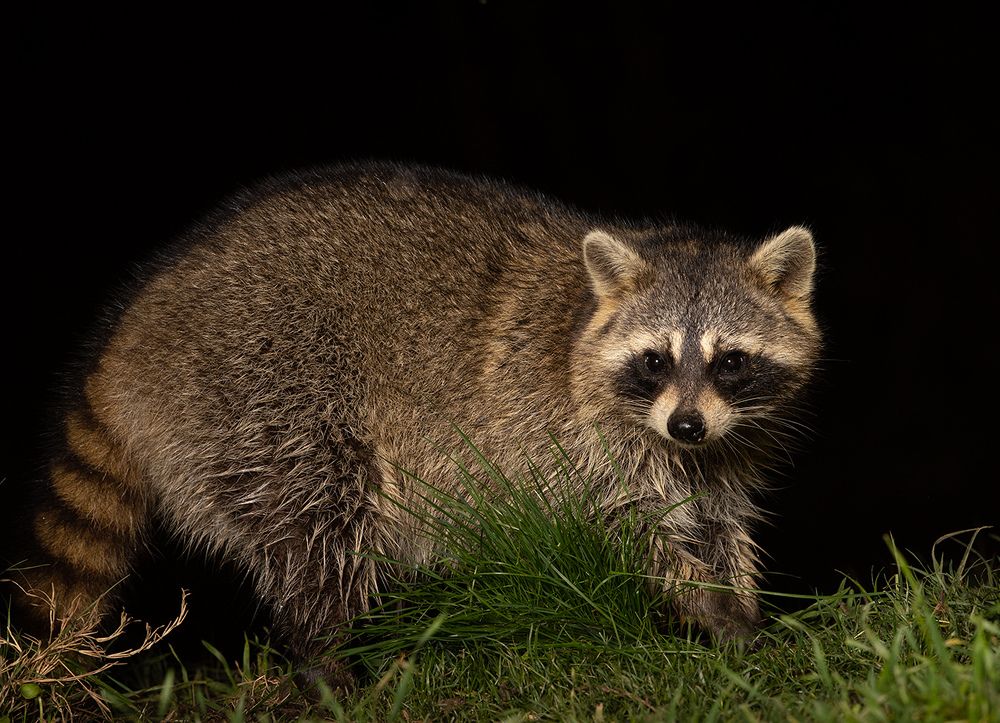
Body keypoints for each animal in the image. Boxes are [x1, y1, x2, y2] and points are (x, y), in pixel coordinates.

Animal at [10, 163, 819, 676]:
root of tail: (131, 327)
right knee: (318, 520)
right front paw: (713, 607)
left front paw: (739, 599)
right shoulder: (575, 444)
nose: (686, 426)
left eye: (731, 362)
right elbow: (627, 531)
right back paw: (325, 657)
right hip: (254, 389)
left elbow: (720, 523)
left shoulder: (725, 448)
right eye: (654, 360)